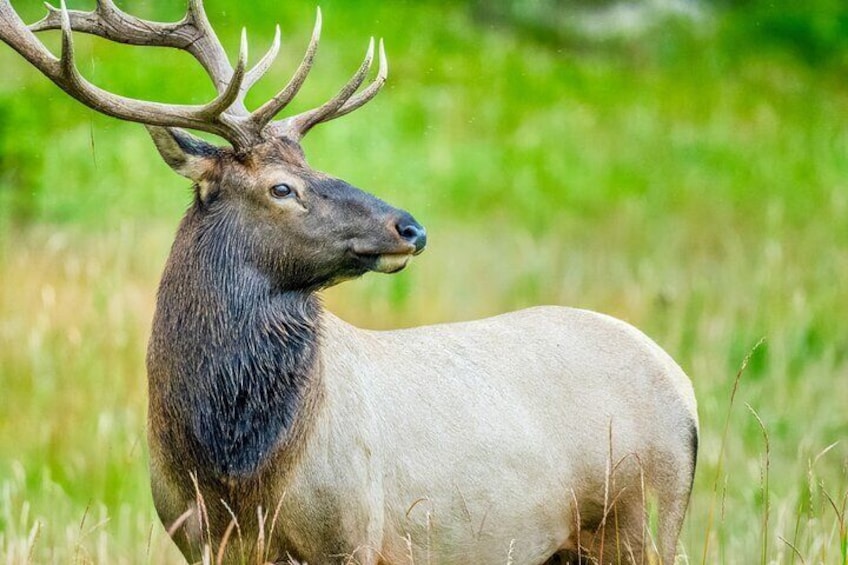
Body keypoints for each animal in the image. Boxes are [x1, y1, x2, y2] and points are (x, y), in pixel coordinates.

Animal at [3, 1, 700, 564]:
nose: (410, 226)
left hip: (646, 519)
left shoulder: (353, 529)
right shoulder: (195, 536)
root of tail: (686, 389)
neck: (232, 471)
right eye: (283, 187)